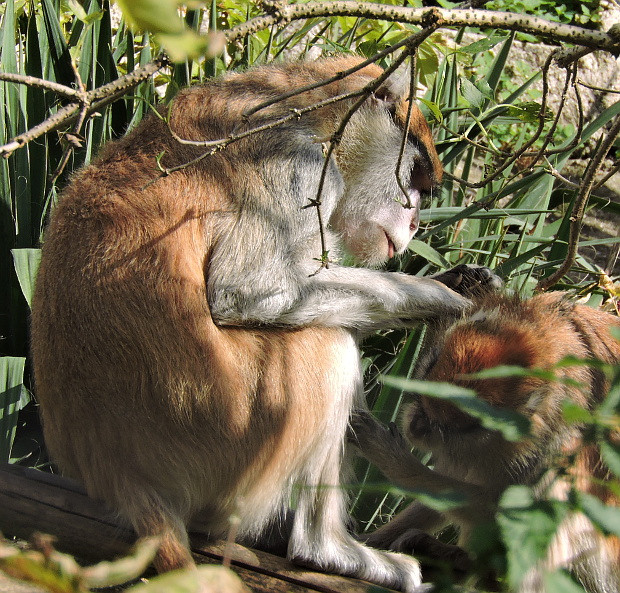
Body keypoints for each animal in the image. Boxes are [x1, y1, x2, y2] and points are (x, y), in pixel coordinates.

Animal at [31, 56, 490, 592]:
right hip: (230, 429)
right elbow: (247, 292)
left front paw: (459, 280)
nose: (415, 221)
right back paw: (329, 552)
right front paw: (445, 299)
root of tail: (119, 475)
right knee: (327, 344)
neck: (308, 109)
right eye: (415, 177)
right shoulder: (298, 168)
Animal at [352, 292, 620, 592]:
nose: (417, 425)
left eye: (464, 423)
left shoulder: (555, 449)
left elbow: (501, 512)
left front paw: (388, 454)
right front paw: (370, 542)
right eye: (432, 366)